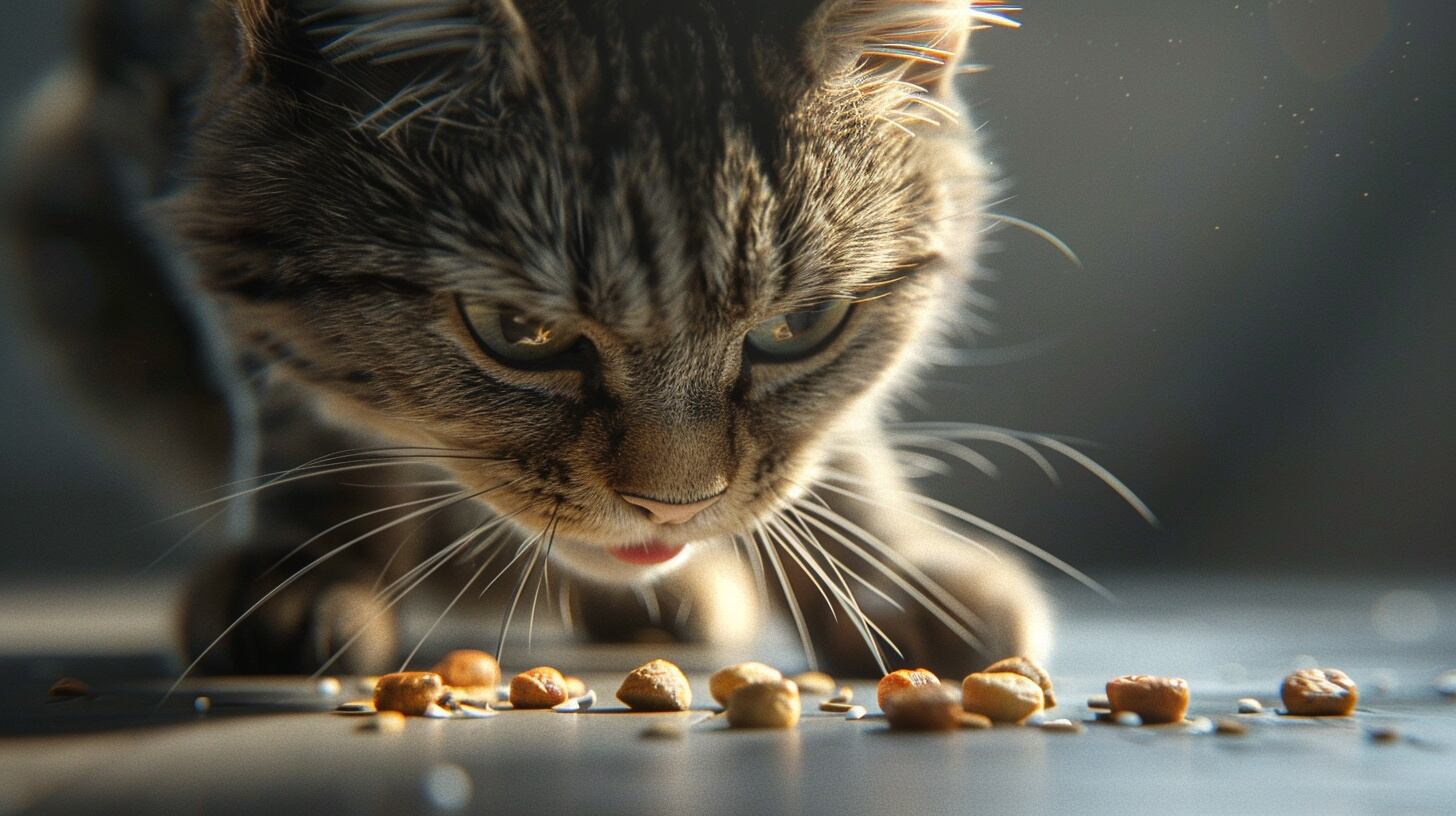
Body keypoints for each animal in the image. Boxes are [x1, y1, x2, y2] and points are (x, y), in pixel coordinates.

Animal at [2, 0, 1059, 676]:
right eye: (520, 331)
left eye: (797, 327)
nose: (674, 507)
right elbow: (285, 380)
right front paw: (310, 561)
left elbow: (835, 437)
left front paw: (885, 571)